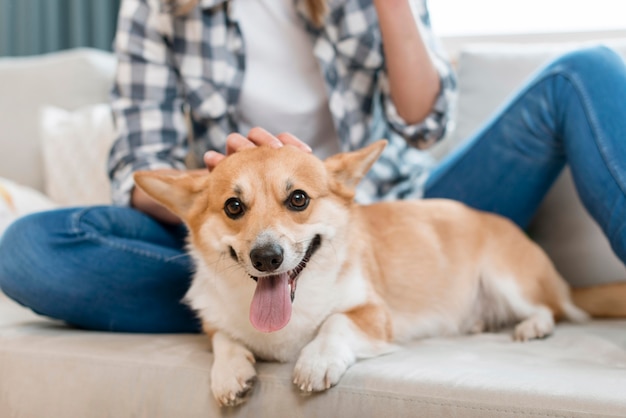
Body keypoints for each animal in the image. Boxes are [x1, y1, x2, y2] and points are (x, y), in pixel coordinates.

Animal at [134, 140, 624, 404]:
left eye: (298, 199)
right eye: (234, 207)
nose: (266, 257)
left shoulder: (374, 315)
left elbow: (335, 322)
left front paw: (316, 361)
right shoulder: (216, 322)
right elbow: (224, 339)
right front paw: (230, 373)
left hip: (508, 276)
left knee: (552, 308)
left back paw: (533, 326)